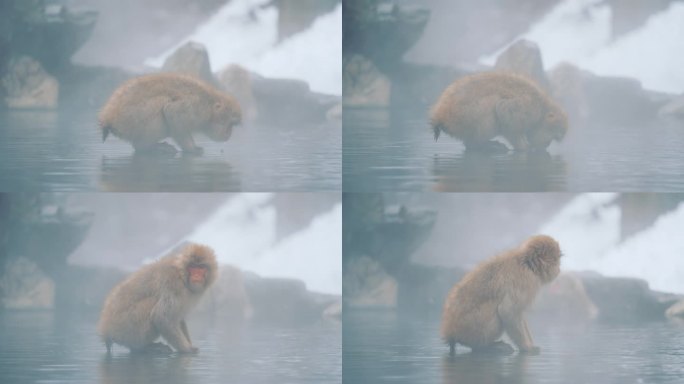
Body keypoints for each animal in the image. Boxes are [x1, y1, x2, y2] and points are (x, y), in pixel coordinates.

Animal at [99, 73, 240, 154]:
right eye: (231, 124)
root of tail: (108, 116)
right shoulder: (196, 106)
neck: (209, 106)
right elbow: (172, 112)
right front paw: (191, 149)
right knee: (162, 103)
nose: (229, 134)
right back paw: (148, 147)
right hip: (132, 119)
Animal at [430, 72, 568, 152]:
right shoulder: (530, 108)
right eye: (555, 136)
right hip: (465, 117)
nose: (547, 144)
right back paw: (484, 145)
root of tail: (439, 114)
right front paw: (524, 148)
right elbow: (503, 110)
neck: (543, 108)